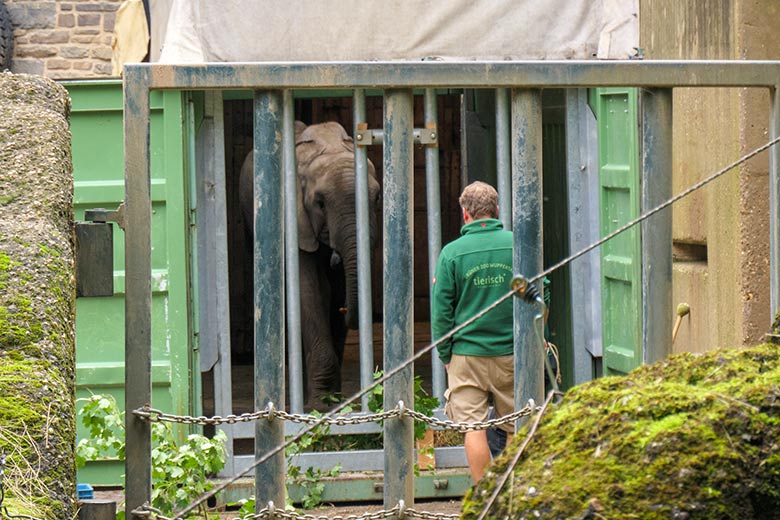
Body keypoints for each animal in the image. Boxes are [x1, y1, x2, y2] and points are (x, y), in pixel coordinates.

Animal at [239, 121, 382, 410]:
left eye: (377, 199)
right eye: (320, 203)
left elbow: (336, 291)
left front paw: (335, 402)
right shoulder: (293, 219)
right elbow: (312, 291)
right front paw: (321, 407)